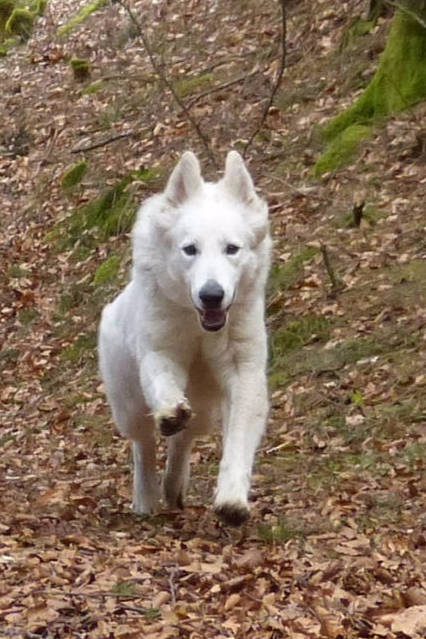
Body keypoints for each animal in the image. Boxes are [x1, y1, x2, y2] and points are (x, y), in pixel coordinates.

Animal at [98, 151, 272, 524]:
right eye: (190, 250)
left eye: (232, 249)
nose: (211, 295)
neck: (199, 328)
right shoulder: (160, 353)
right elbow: (164, 386)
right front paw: (170, 411)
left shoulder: (244, 373)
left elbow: (238, 440)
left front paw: (232, 500)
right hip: (128, 405)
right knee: (144, 444)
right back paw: (146, 496)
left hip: (205, 409)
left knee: (184, 440)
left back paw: (173, 487)